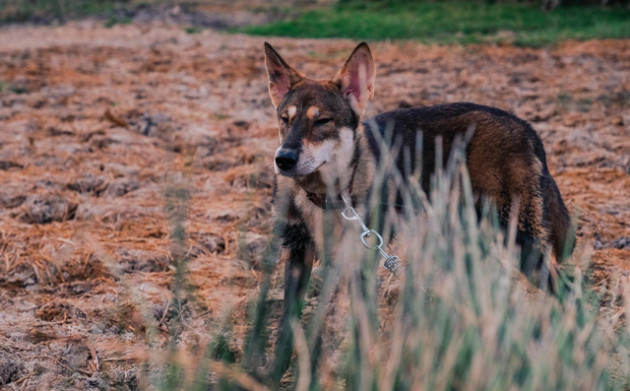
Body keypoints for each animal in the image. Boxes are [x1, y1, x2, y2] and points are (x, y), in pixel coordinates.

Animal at [264, 41, 576, 384]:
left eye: (322, 122)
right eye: (285, 119)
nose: (284, 159)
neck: (325, 197)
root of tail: (526, 126)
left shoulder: (361, 262)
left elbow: (361, 334)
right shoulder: (298, 255)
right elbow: (288, 327)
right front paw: (271, 375)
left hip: (521, 245)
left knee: (571, 294)